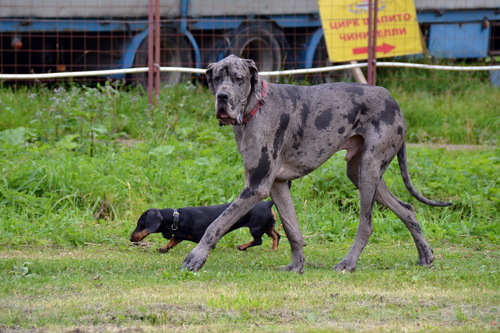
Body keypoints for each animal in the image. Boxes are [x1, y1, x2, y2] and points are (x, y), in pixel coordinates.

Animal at [130, 200, 282, 252]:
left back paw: (243, 247)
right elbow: (173, 240)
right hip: (267, 226)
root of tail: (268, 202)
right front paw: (164, 248)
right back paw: (274, 250)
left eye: (140, 224)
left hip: (256, 228)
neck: (177, 218)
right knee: (277, 236)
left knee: (258, 241)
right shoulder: (179, 234)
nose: (131, 239)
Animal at [182, 54, 452, 272]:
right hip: (361, 172)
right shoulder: (277, 184)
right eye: (217, 78)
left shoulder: (256, 186)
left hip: (369, 169)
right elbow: (291, 228)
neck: (256, 107)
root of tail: (393, 100)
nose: (222, 96)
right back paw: (425, 255)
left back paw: (348, 263)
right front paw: (297, 265)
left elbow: (218, 223)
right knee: (407, 209)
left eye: (238, 79)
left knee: (366, 224)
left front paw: (196, 257)